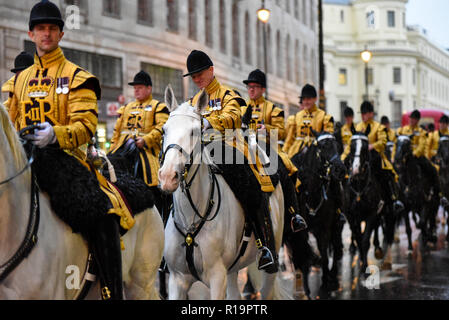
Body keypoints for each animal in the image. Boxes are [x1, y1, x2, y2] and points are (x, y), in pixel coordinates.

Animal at [158, 87, 284, 300]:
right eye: (164, 130)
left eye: (194, 131)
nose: (168, 176)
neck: (192, 218)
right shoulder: (177, 279)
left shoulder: (217, 278)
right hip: (232, 271)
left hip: (269, 266)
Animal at [290, 129, 346, 298]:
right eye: (322, 146)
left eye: (337, 146)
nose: (340, 170)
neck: (312, 193)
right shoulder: (302, 231)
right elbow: (304, 255)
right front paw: (306, 290)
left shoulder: (325, 228)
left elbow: (325, 254)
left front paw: (325, 284)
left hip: (336, 225)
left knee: (336, 246)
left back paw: (333, 277)